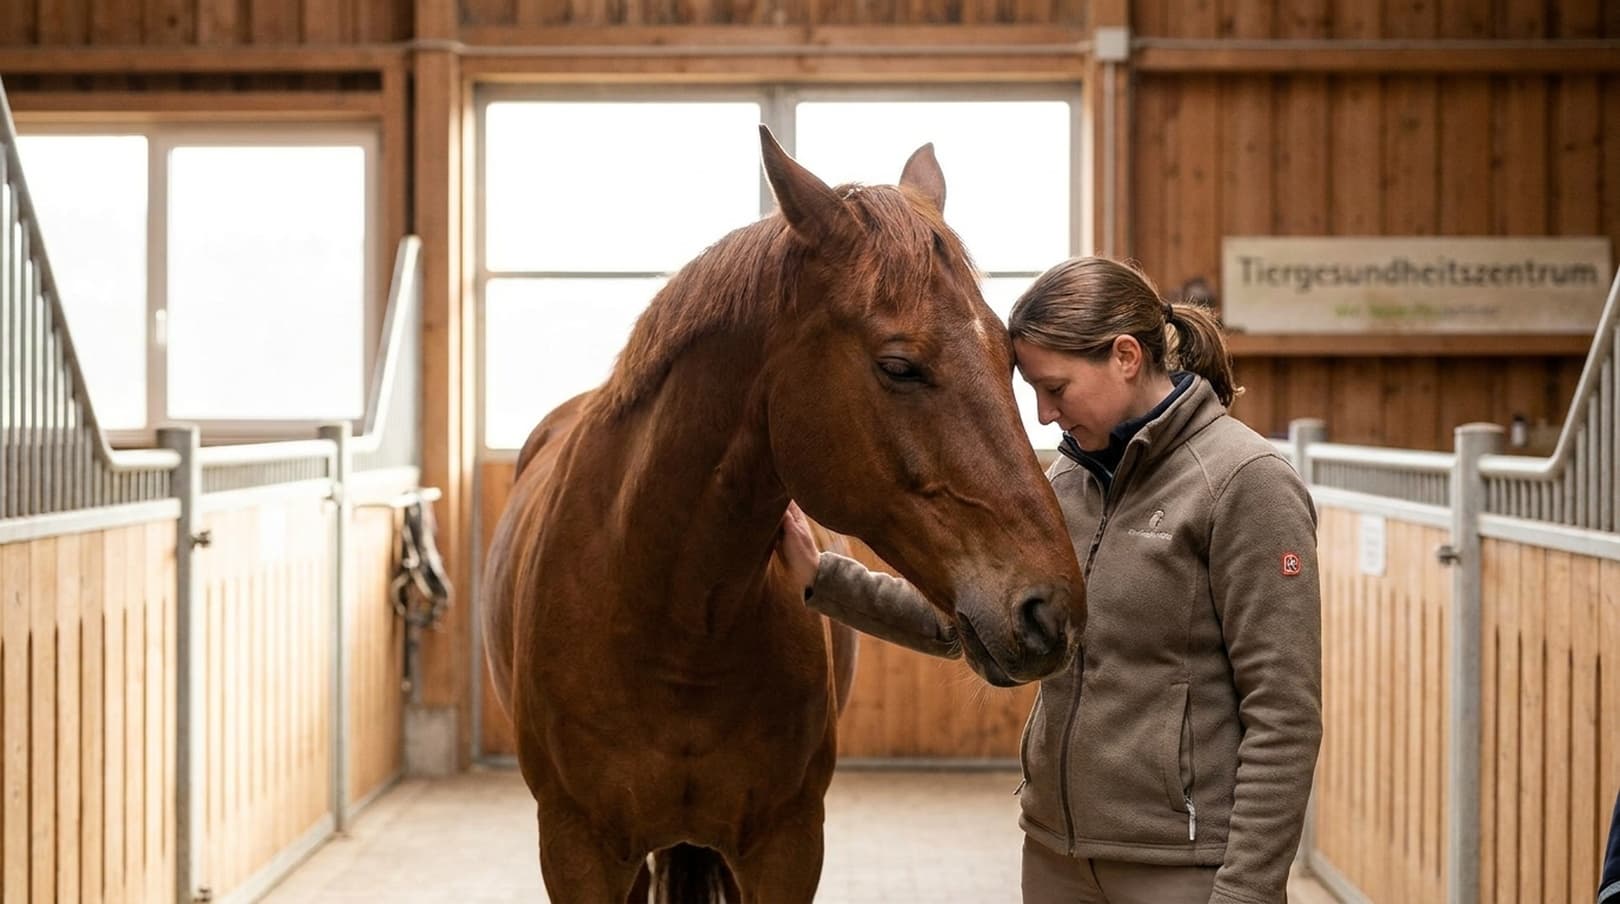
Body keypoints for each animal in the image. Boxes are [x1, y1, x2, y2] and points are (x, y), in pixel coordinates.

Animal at [481, 126, 1085, 903]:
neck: (674, 621)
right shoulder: (575, 848)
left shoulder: (787, 845)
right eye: (898, 366)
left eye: (1009, 357)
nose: (1051, 609)